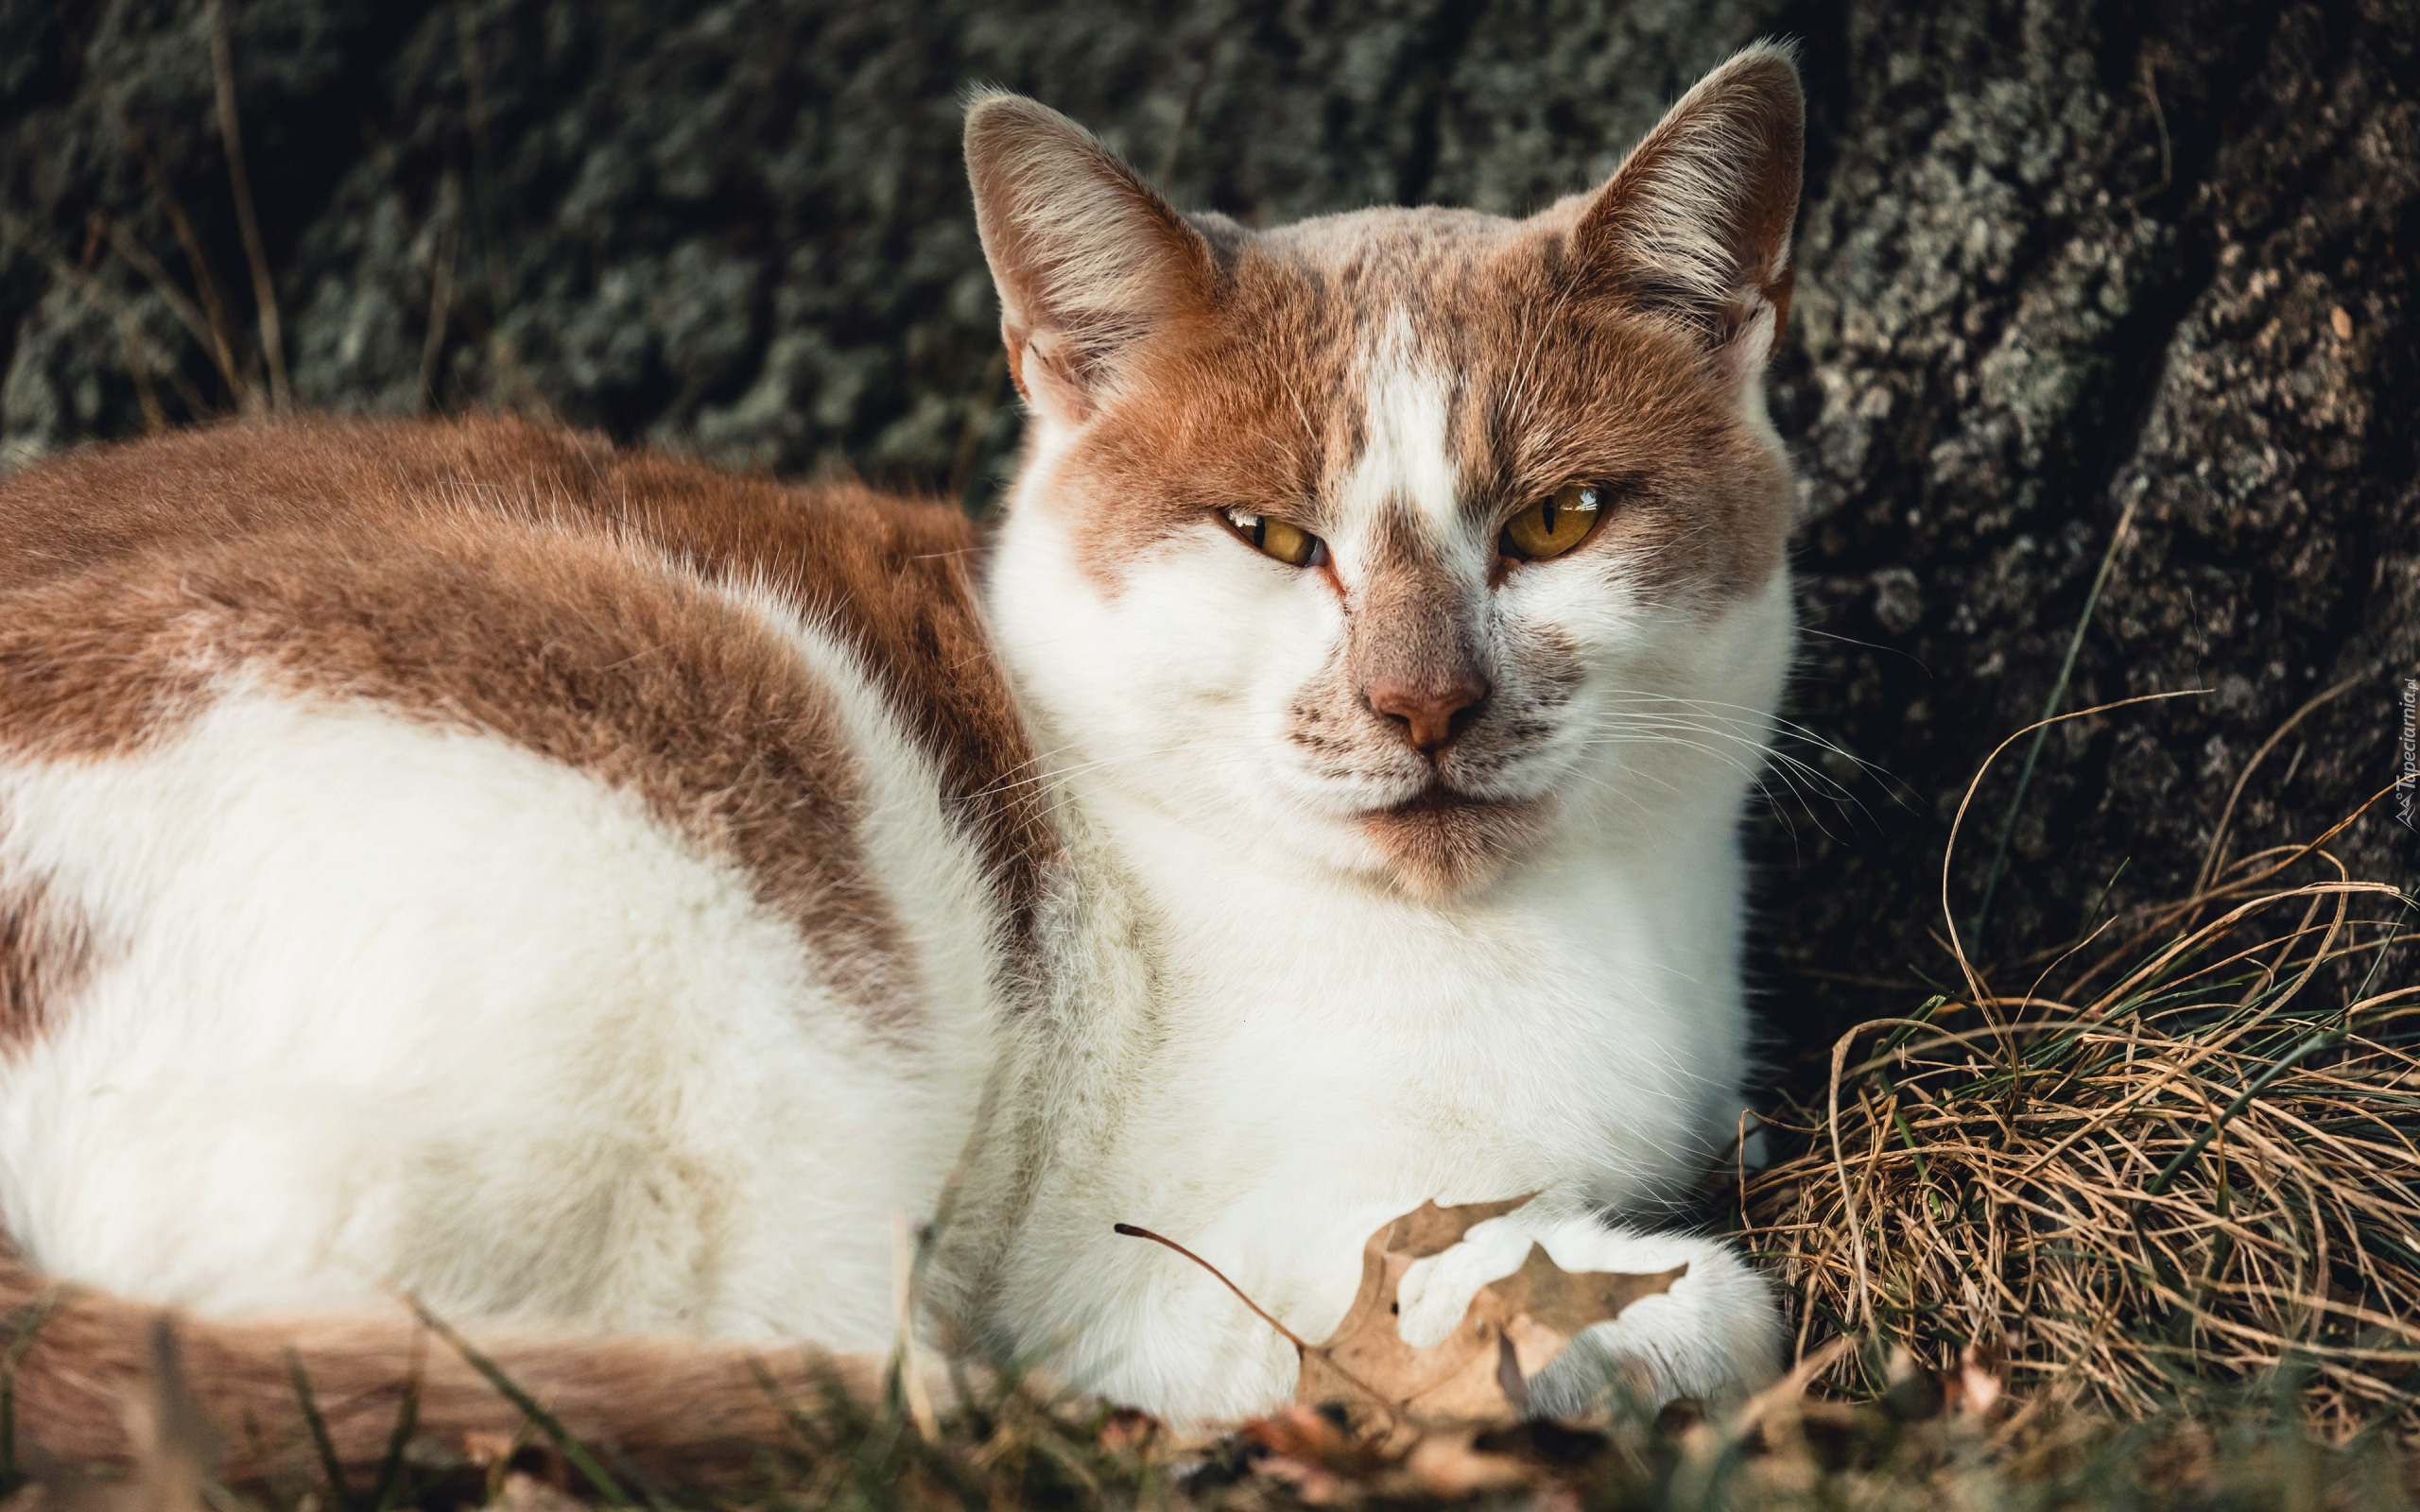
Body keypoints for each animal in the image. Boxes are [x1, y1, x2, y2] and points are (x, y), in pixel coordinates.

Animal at [0, 41, 1800, 1470]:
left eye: (1557, 521)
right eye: (1273, 537)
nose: (1423, 705)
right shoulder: (1145, 1251)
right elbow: (1604, 1305)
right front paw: (1626, 1320)